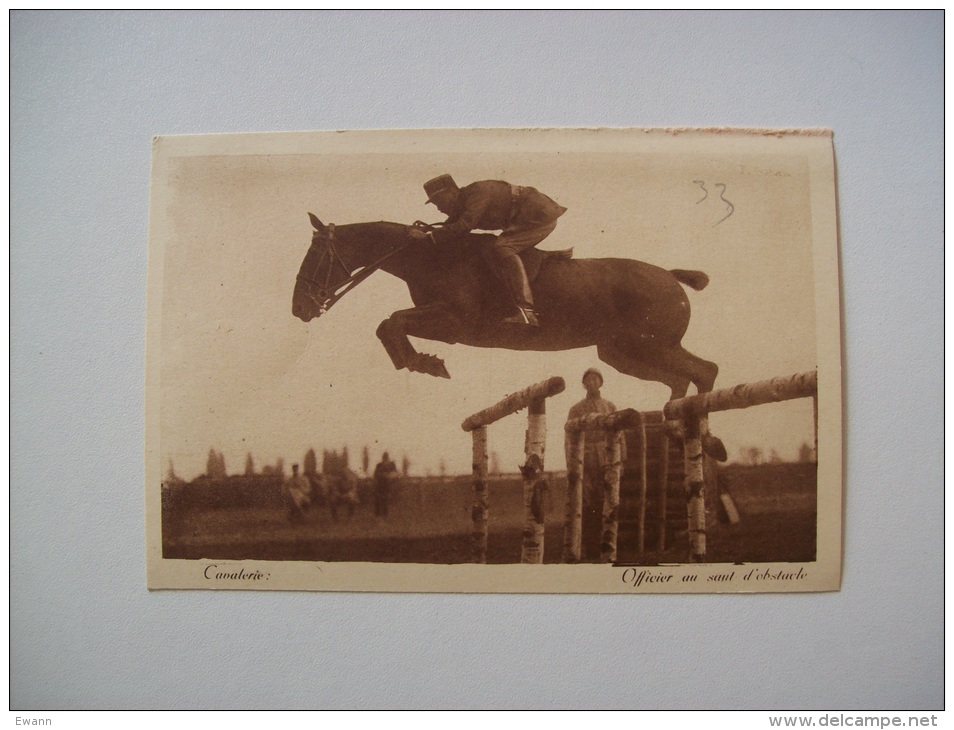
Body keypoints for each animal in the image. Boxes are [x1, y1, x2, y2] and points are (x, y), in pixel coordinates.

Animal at [290, 213, 712, 400]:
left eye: (316, 257)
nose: (299, 309)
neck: (429, 256)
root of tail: (671, 277)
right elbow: (386, 325)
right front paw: (415, 361)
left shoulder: (455, 323)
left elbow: (391, 321)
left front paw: (425, 362)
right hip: (620, 353)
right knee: (680, 380)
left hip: (650, 345)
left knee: (704, 371)